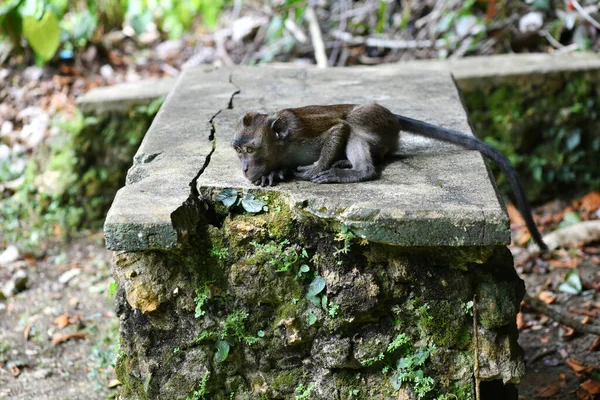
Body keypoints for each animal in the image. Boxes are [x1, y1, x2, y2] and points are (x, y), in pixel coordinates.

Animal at [233, 103, 548, 250]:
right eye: (238, 151)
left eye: (250, 149)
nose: (244, 168)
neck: (283, 143)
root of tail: (393, 114)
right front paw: (272, 174)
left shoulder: (301, 131)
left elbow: (338, 128)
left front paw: (316, 168)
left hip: (377, 119)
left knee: (354, 123)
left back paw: (357, 171)